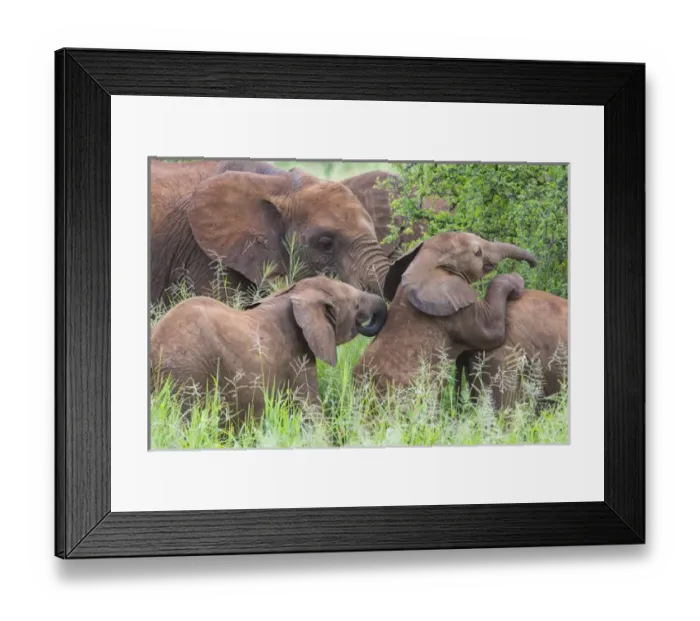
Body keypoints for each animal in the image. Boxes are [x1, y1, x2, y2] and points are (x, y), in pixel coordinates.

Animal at [354, 231, 537, 391]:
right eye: (477, 252)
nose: (533, 264)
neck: (426, 263)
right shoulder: (454, 313)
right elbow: (493, 332)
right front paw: (516, 282)